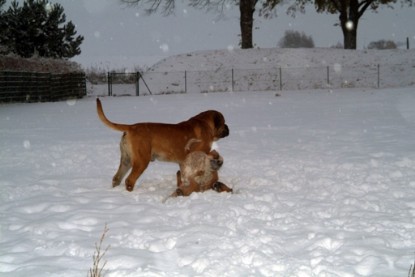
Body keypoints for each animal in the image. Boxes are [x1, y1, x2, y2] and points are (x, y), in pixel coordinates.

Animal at [96, 98, 229, 191]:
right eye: (224, 123)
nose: (228, 128)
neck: (205, 124)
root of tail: (131, 128)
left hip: (126, 160)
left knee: (117, 178)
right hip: (141, 161)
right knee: (129, 180)